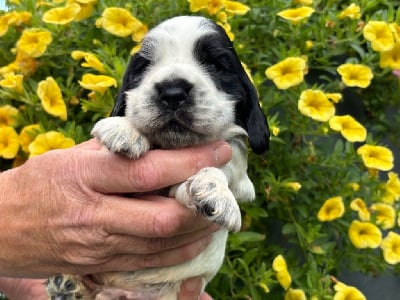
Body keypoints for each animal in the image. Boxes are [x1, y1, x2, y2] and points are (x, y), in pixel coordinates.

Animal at [48, 15, 270, 298]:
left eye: (215, 65)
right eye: (144, 67)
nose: (172, 92)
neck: (173, 146)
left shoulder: (233, 171)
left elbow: (221, 169)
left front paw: (214, 190)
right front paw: (125, 129)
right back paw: (68, 283)